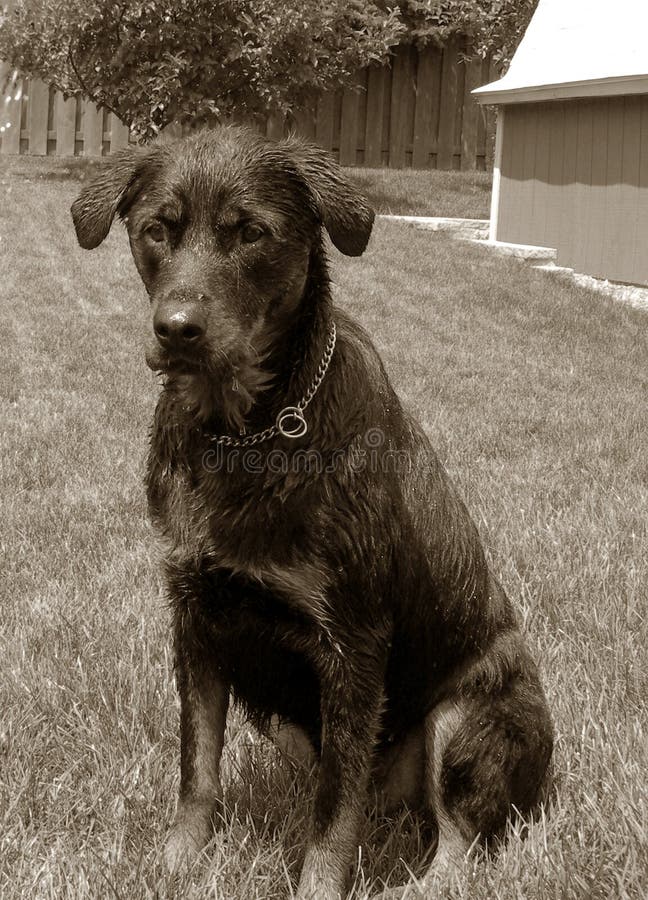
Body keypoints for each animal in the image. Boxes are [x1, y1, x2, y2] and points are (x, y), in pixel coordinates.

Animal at [73, 128, 556, 900]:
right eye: (156, 230)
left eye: (251, 233)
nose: (177, 329)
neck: (244, 434)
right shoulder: (195, 618)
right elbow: (197, 768)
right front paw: (176, 862)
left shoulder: (352, 643)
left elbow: (333, 816)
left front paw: (317, 887)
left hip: (470, 712)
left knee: (458, 844)